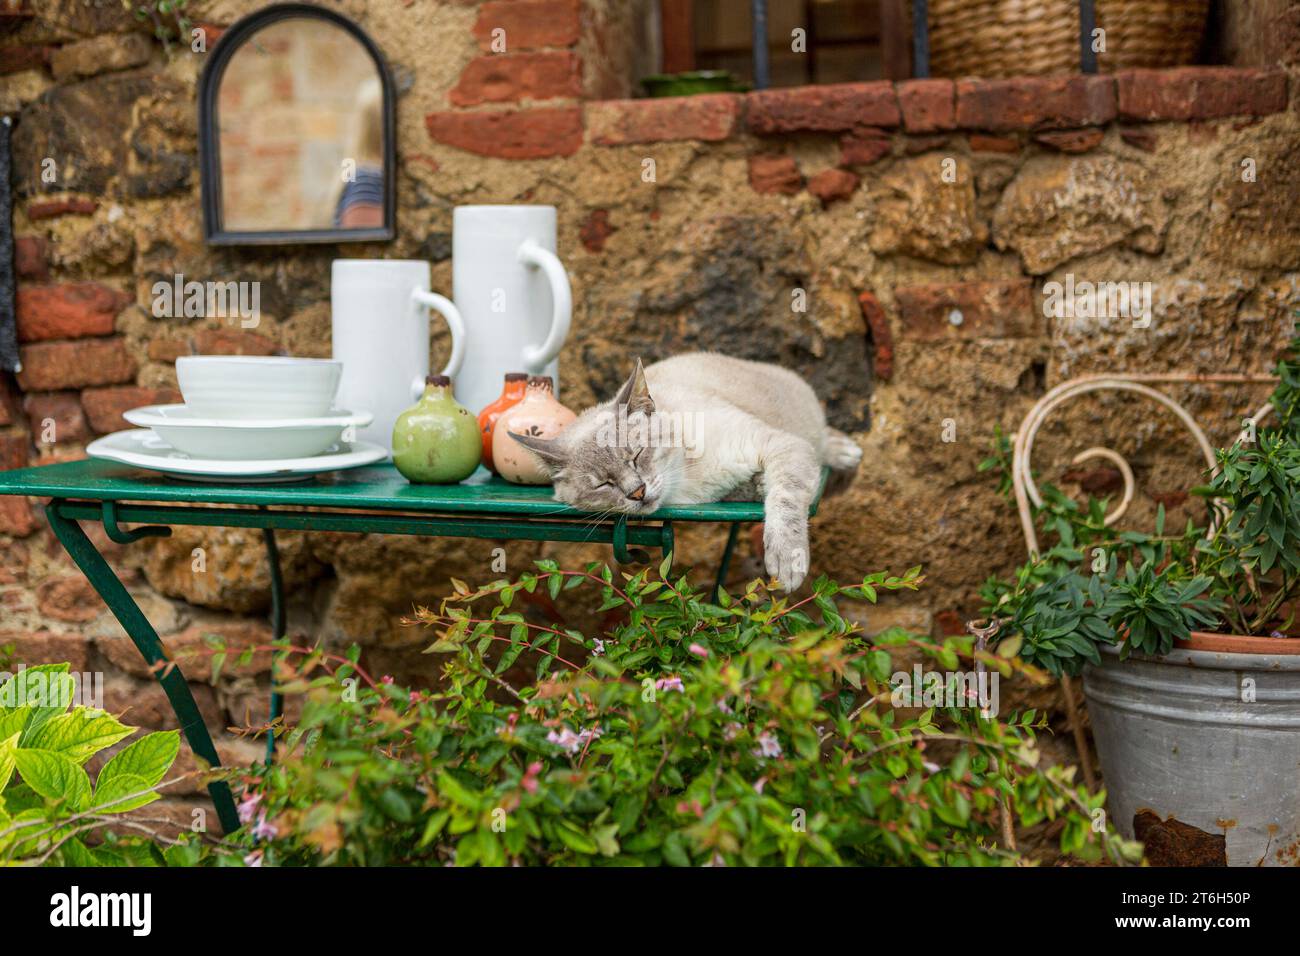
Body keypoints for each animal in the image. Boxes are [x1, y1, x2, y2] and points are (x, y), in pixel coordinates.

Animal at [506, 351, 863, 590]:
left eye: (636, 456)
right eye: (603, 484)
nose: (637, 492)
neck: (687, 482)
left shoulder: (779, 443)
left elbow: (785, 501)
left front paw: (788, 563)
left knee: (823, 439)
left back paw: (846, 451)